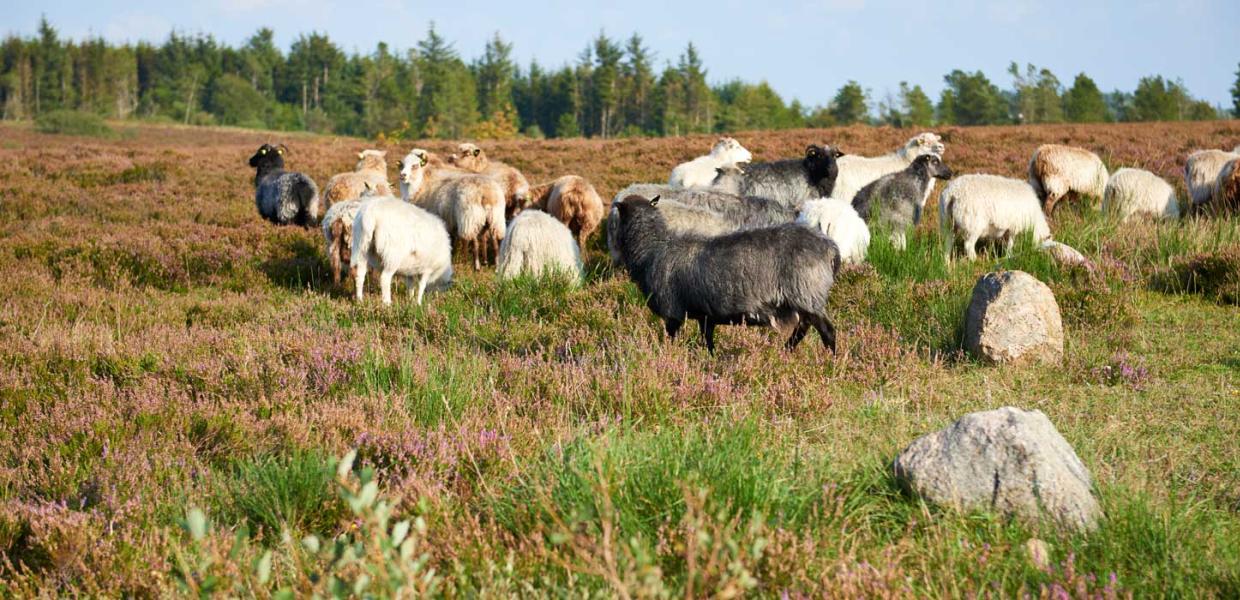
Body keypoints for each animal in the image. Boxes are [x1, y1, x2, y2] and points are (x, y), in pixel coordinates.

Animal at [612, 194, 843, 354]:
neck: (653, 248)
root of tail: (831, 248)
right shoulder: (705, 315)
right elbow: (707, 340)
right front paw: (710, 359)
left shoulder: (673, 312)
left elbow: (671, 339)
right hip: (803, 299)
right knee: (803, 328)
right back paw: (786, 352)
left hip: (806, 293)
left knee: (827, 331)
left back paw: (830, 361)